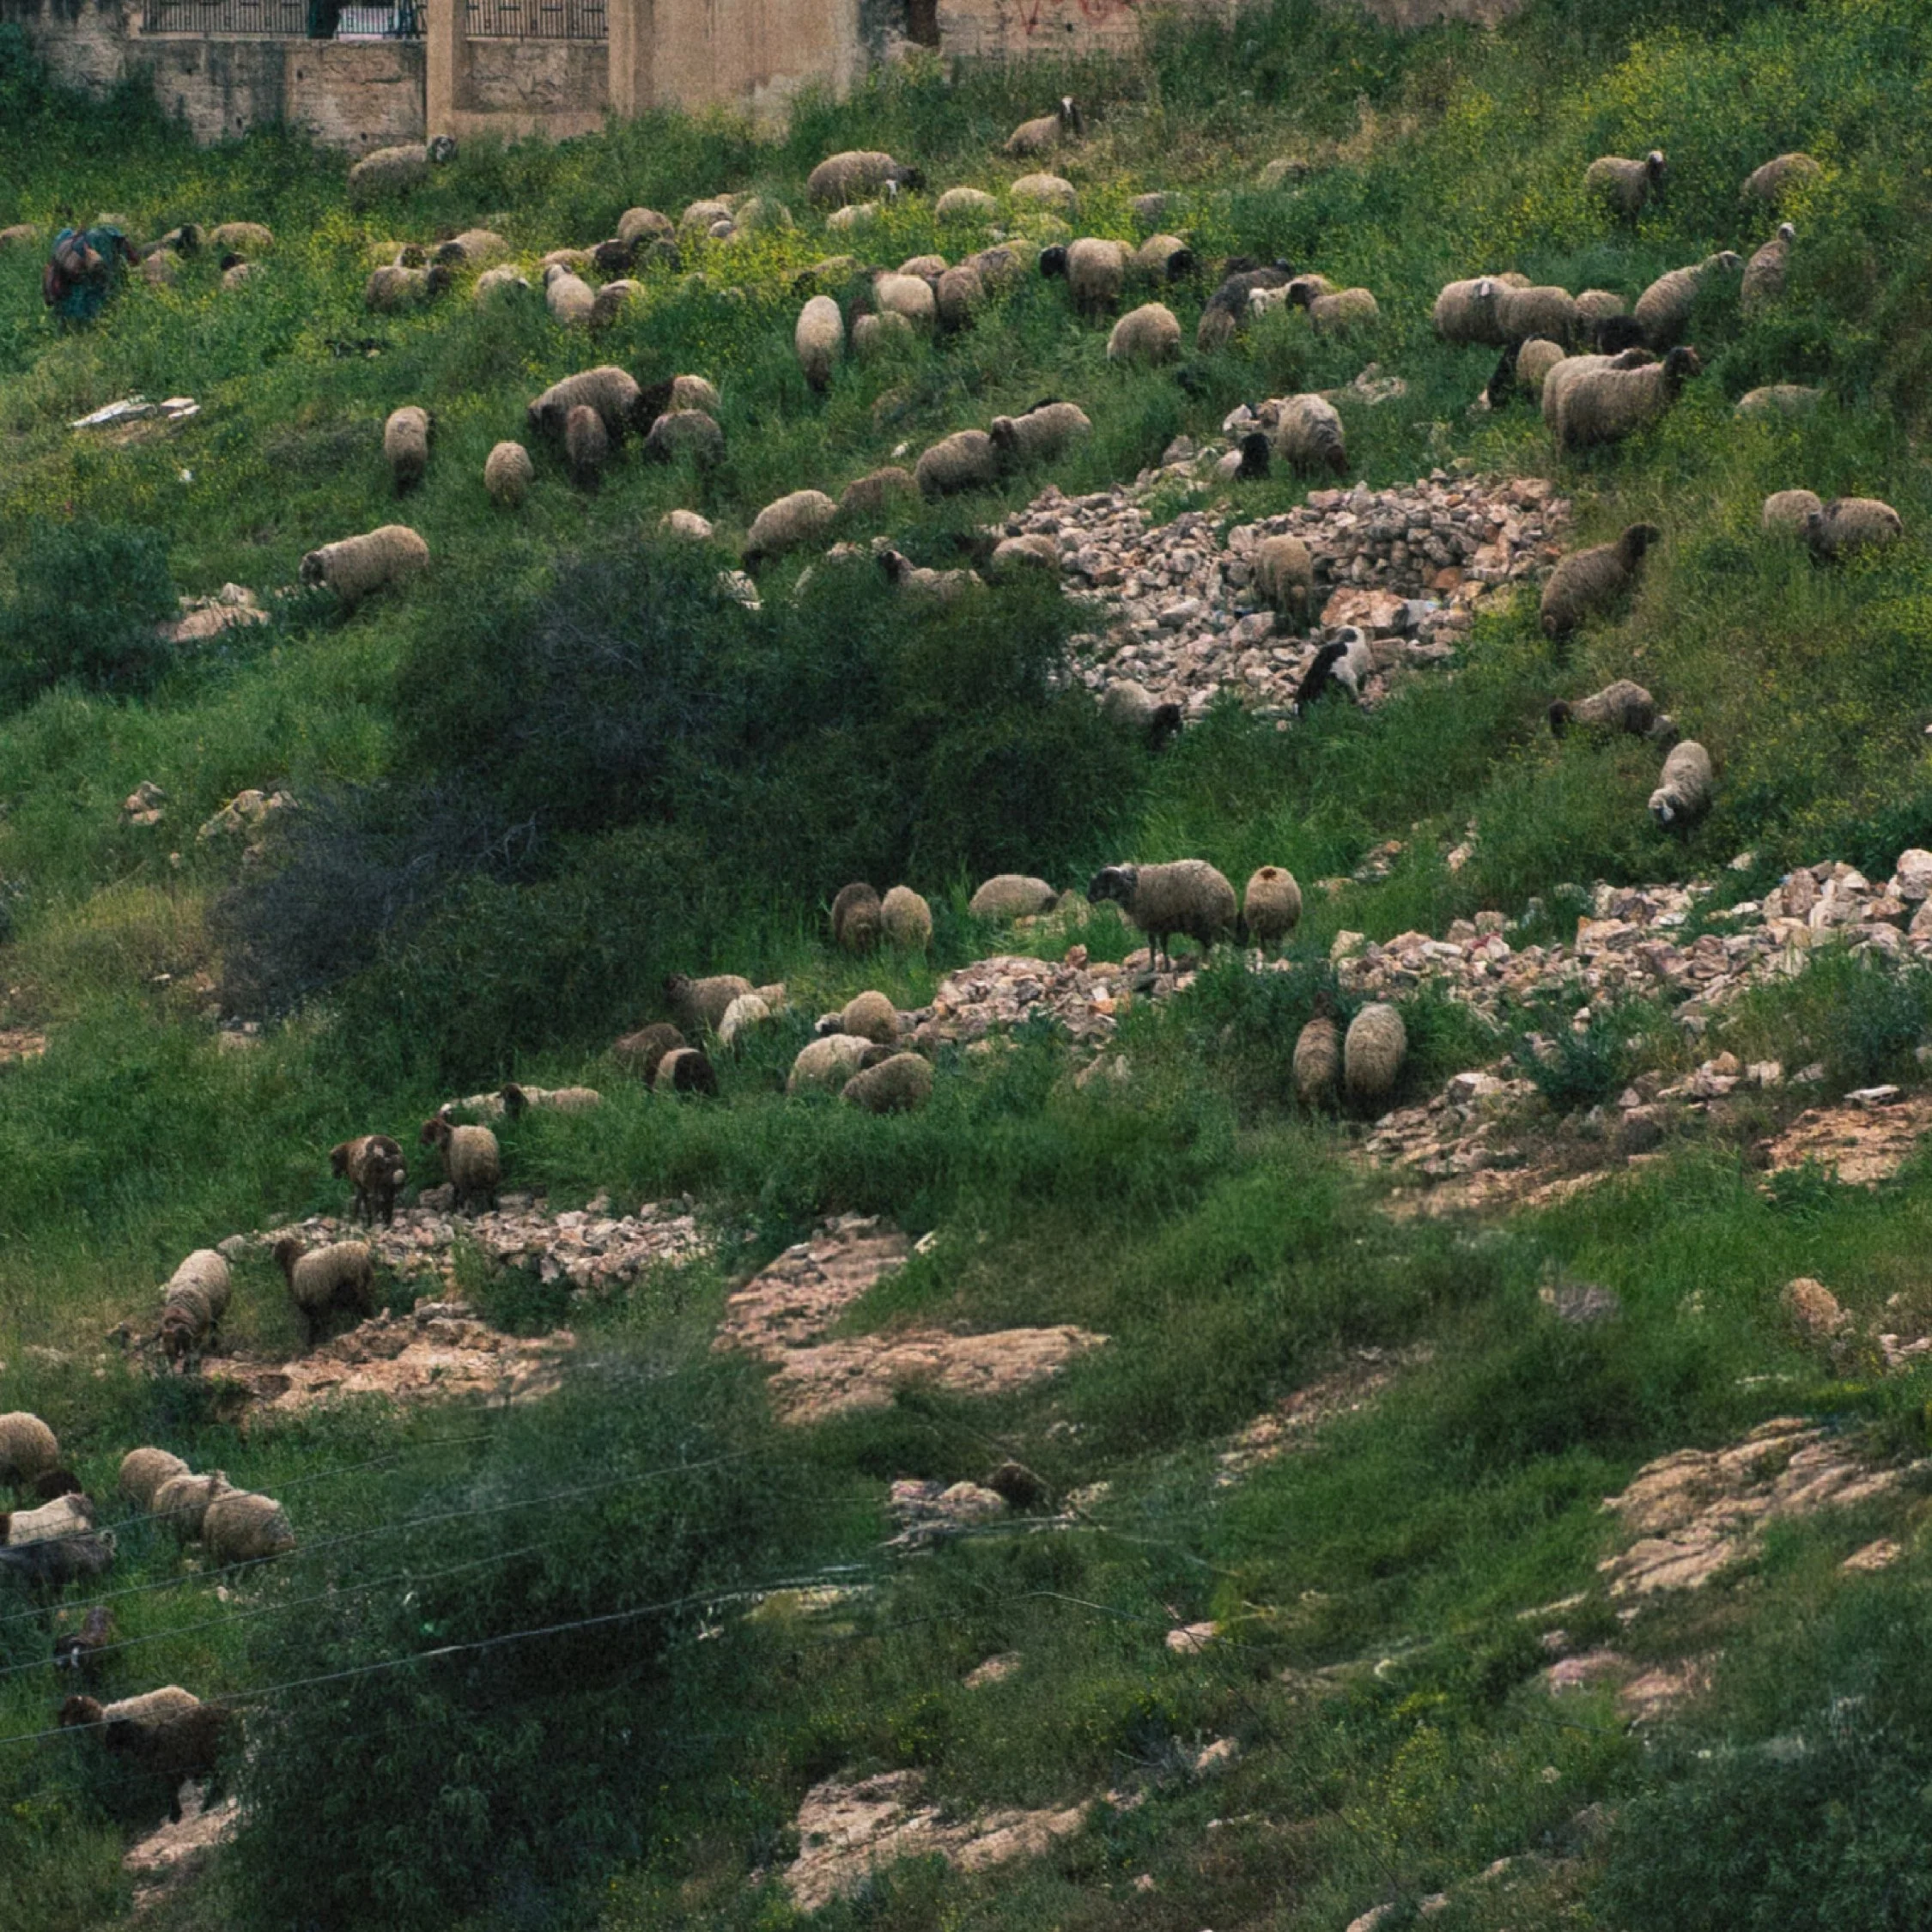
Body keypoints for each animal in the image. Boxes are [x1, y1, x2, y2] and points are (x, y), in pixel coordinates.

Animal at [299, 525, 429, 607]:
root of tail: (421, 544)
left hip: (402, 572)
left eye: (306, 568)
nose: (302, 581)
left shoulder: (351, 590)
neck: (327, 564)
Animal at [1086, 860, 1238, 969]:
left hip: (1210, 922)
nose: (1088, 897)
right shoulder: (1157, 925)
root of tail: (1226, 888)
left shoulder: (1158, 923)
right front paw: (1160, 967)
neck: (1133, 887)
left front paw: (1158, 967)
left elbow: (1157, 946)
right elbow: (1157, 946)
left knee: (1214, 945)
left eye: (1102, 882)